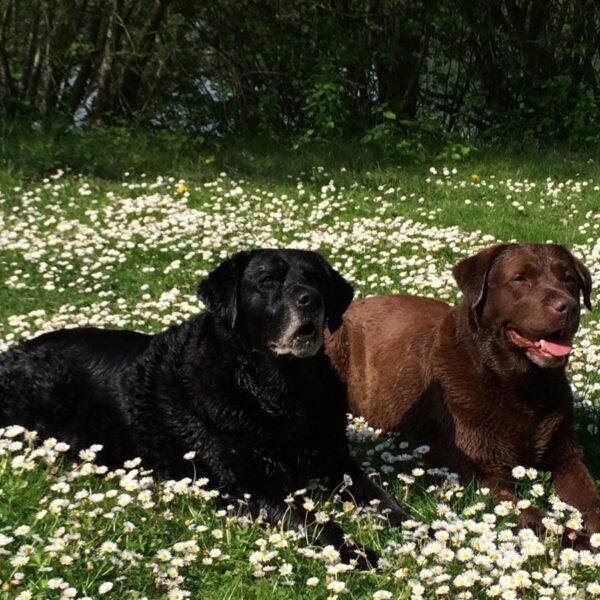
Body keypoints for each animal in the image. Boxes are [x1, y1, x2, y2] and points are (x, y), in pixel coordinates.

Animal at [0, 250, 408, 568]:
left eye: (315, 279)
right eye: (267, 281)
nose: (310, 299)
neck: (278, 390)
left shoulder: (338, 462)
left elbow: (385, 500)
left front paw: (417, 531)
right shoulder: (245, 487)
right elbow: (315, 522)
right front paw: (361, 555)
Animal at [328, 243, 600, 544]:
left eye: (569, 280)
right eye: (520, 278)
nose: (568, 306)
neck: (521, 387)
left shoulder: (567, 457)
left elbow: (591, 501)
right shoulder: (486, 472)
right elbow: (536, 515)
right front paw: (582, 540)